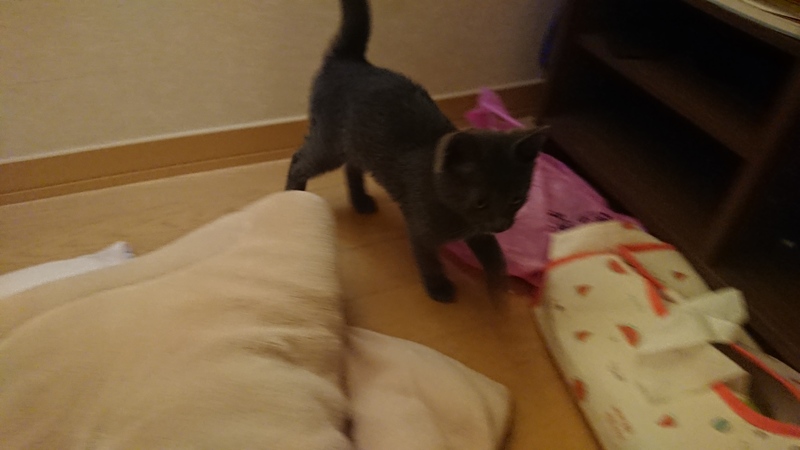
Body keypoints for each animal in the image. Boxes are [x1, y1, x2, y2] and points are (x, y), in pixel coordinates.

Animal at [285, 0, 548, 302]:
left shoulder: (479, 231)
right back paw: (292, 196)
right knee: (300, 159)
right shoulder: (422, 228)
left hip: (356, 143)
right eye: (481, 201)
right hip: (330, 144)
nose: (503, 224)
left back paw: (360, 201)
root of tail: (350, 60)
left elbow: (495, 256)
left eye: (517, 199)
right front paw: (439, 287)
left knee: (352, 166)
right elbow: (428, 258)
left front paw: (499, 294)